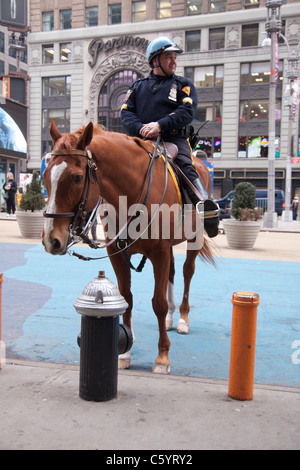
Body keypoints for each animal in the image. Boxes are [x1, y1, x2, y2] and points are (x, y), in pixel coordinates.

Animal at [42, 120, 216, 374]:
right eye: (45, 175)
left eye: (76, 178)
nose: (50, 239)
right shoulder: (117, 253)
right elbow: (126, 299)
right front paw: (124, 353)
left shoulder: (159, 253)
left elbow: (158, 303)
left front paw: (162, 356)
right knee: (172, 274)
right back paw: (171, 318)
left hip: (193, 240)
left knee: (187, 273)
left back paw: (183, 319)